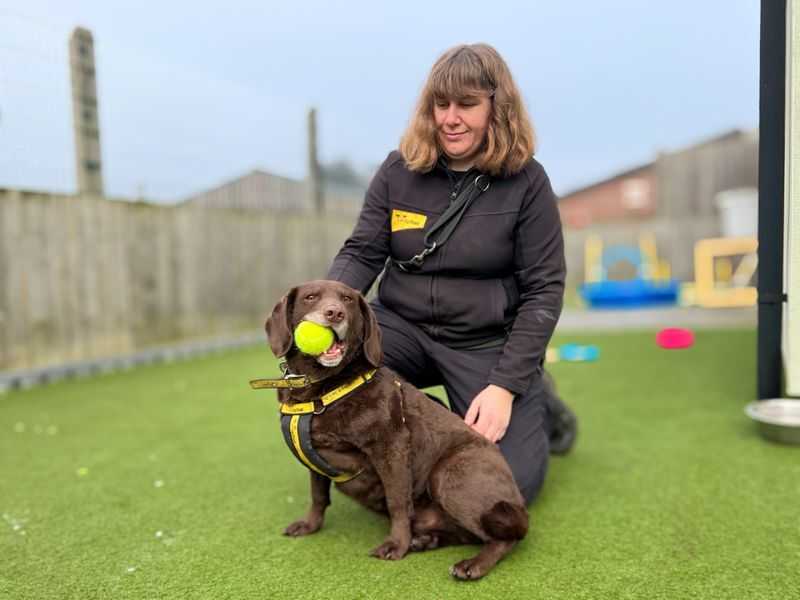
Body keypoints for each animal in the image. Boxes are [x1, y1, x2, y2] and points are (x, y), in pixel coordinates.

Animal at [264, 278, 532, 580]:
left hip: (449, 475)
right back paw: (425, 541)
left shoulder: (391, 448)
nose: (334, 313)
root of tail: (517, 500)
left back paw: (472, 564)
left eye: (346, 299)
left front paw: (396, 545)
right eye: (310, 297)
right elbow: (318, 495)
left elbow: (398, 502)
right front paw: (310, 525)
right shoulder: (315, 456)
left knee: (505, 538)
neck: (322, 387)